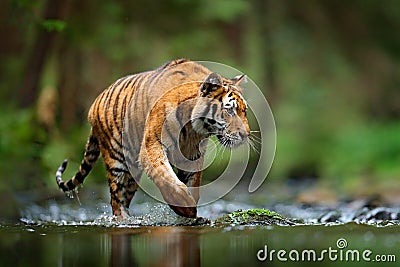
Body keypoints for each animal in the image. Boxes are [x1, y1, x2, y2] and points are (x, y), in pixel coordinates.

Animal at [55, 60, 250, 220]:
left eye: (244, 111)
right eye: (230, 110)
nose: (246, 135)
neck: (192, 128)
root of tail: (94, 105)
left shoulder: (192, 155)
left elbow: (192, 182)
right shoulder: (152, 145)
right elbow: (165, 176)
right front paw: (185, 207)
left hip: (132, 173)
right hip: (116, 160)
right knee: (116, 200)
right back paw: (124, 221)